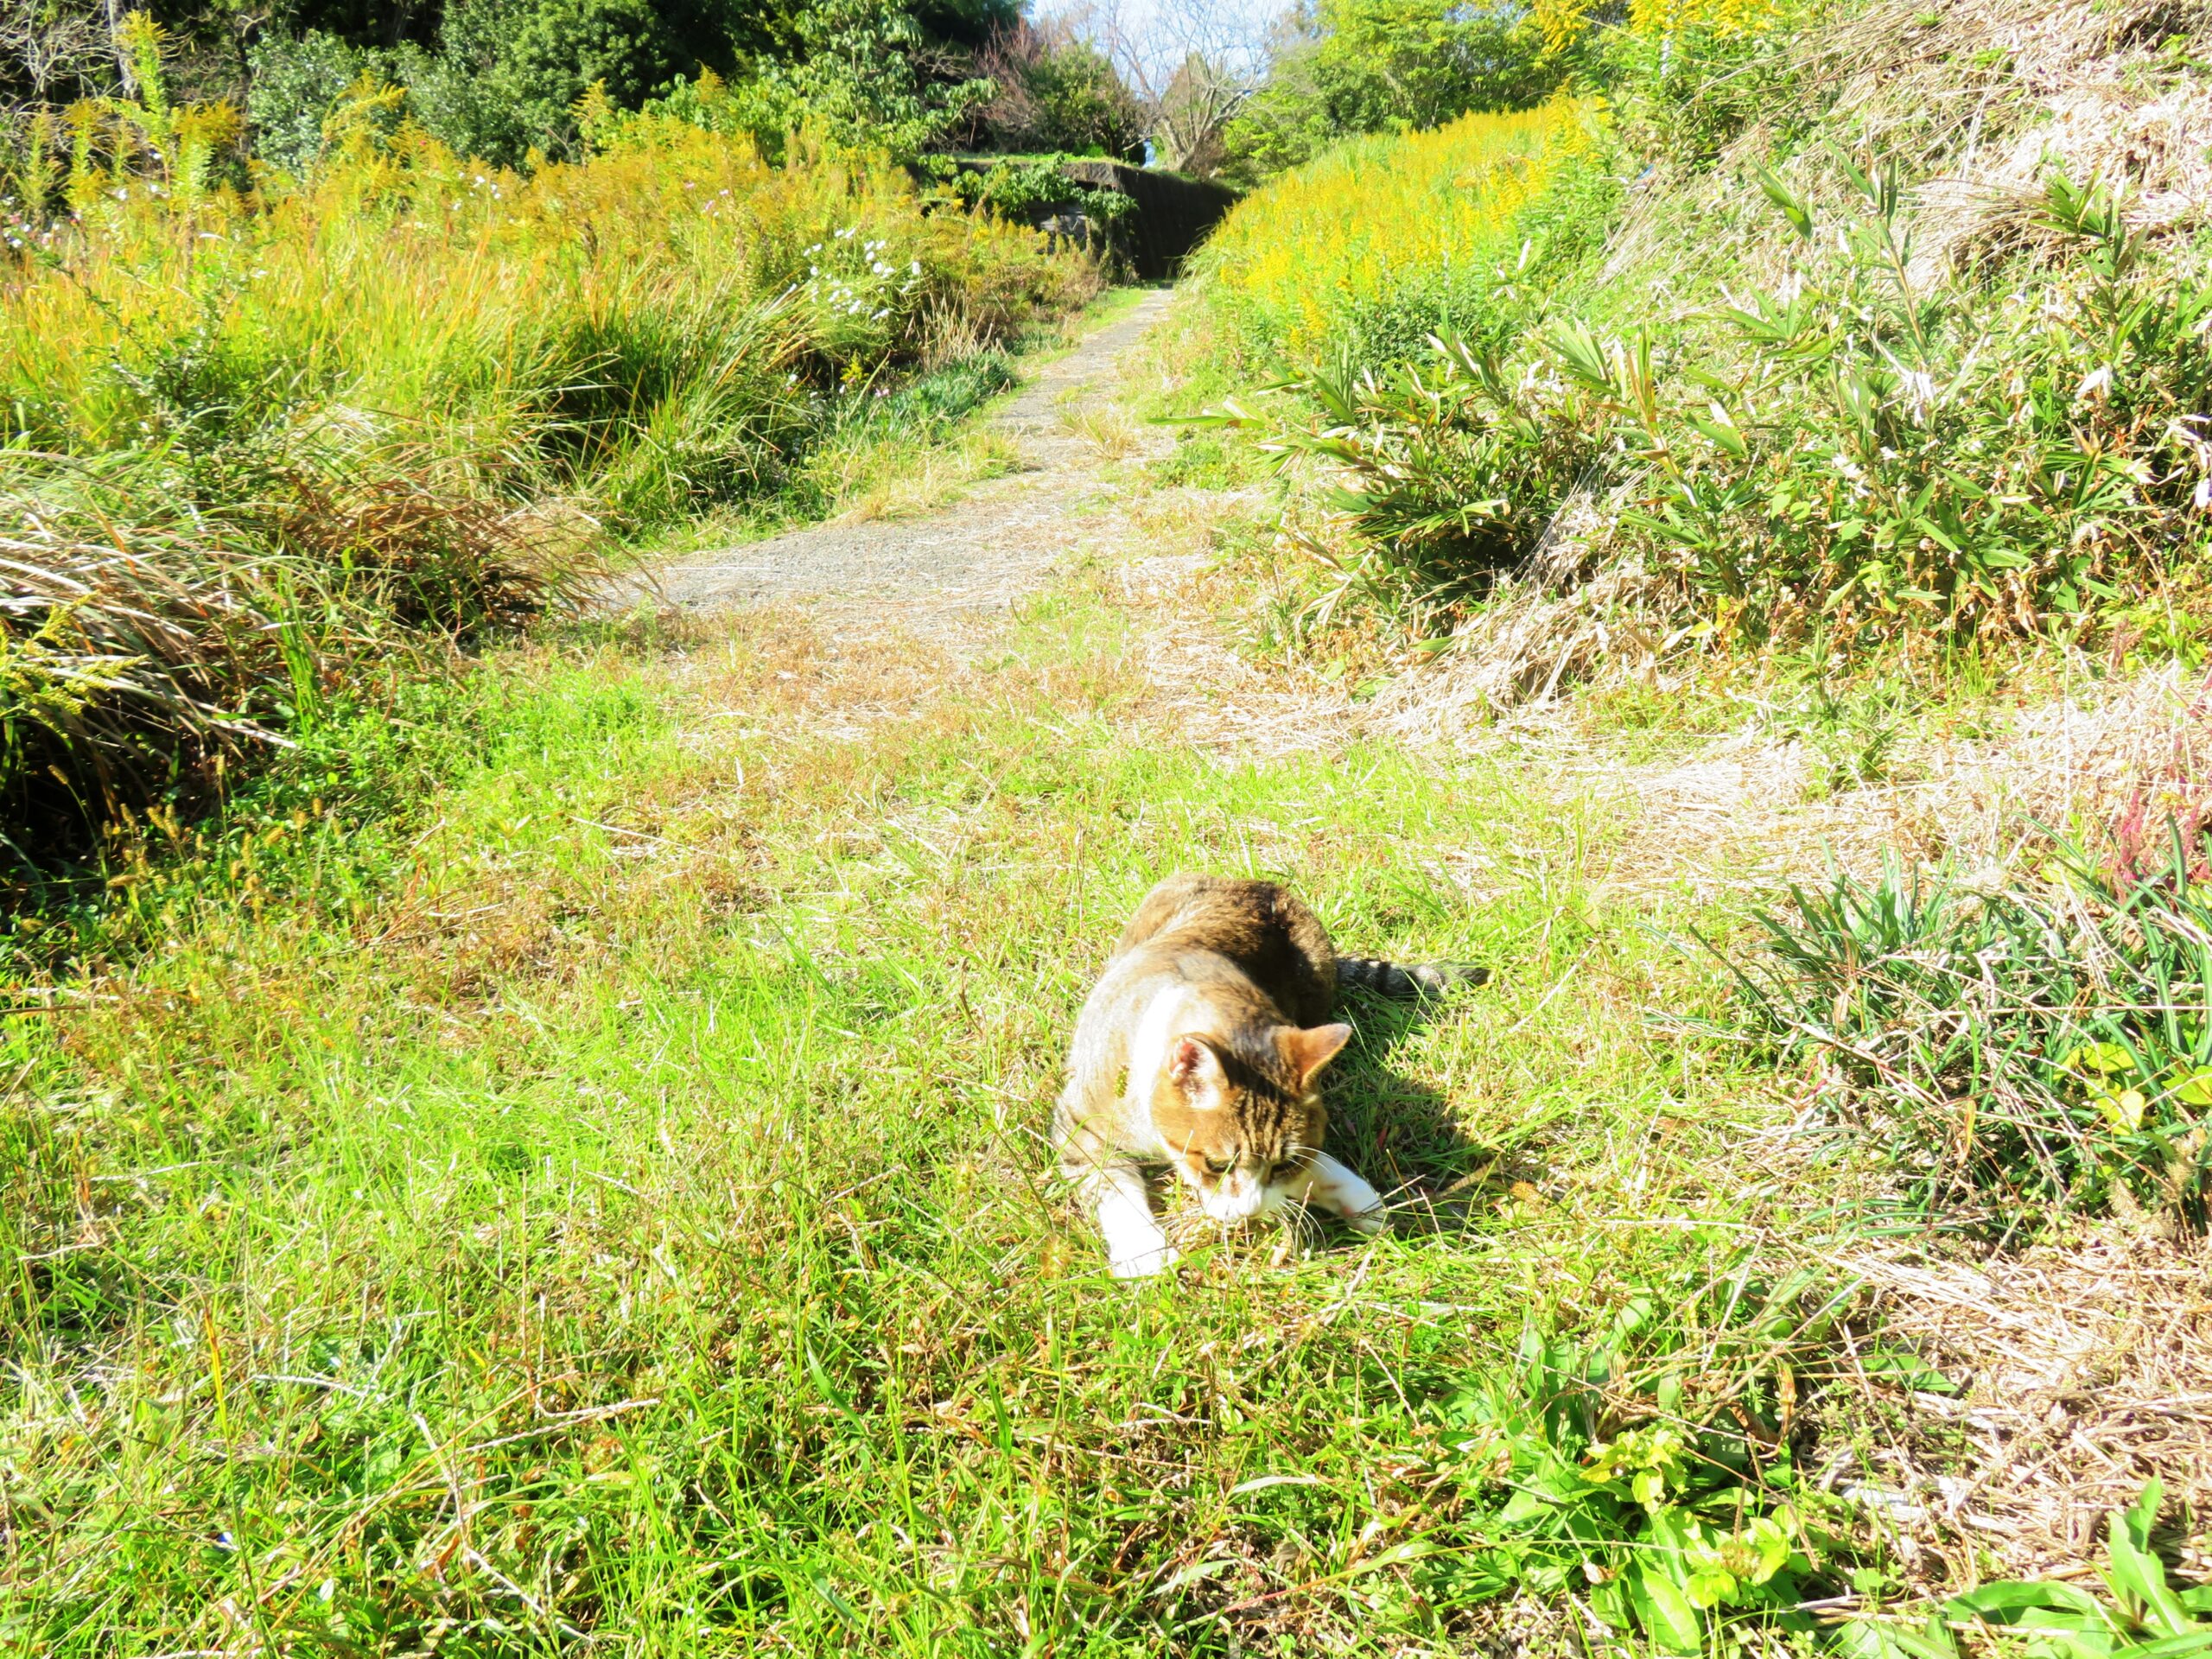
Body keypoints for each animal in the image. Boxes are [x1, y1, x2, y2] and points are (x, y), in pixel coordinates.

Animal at [1057, 875, 1486, 1282]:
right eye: (1217, 1165)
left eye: (1282, 1166)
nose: (1248, 1213)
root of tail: (1256, 884)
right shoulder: (1077, 1125)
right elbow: (1112, 1187)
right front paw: (1143, 1254)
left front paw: (1347, 1193)